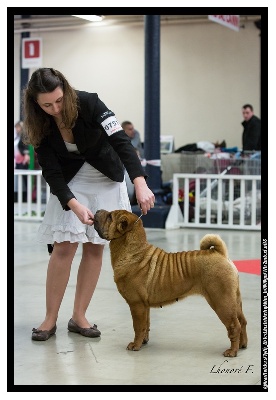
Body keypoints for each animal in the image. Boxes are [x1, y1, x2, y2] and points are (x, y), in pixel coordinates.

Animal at [93, 209, 248, 356]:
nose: (97, 211)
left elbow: (137, 327)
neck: (133, 252)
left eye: (110, 217)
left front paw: (135, 345)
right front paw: (144, 341)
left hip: (221, 301)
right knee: (242, 321)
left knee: (234, 325)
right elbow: (146, 325)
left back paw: (232, 351)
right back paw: (242, 345)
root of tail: (220, 254)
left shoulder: (136, 305)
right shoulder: (144, 306)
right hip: (235, 300)